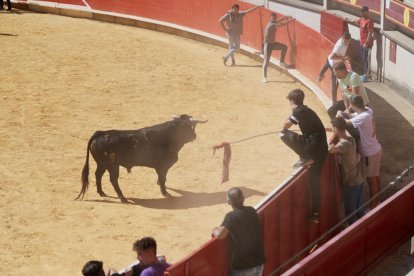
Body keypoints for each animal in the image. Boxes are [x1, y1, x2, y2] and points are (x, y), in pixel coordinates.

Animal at [76, 114, 207, 203]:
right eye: (190, 126)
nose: (194, 136)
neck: (170, 136)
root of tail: (101, 133)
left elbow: (161, 178)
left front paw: (160, 185)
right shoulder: (163, 166)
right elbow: (163, 179)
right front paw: (165, 193)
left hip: (102, 164)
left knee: (98, 174)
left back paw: (101, 192)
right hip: (112, 165)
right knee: (113, 180)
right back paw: (123, 198)